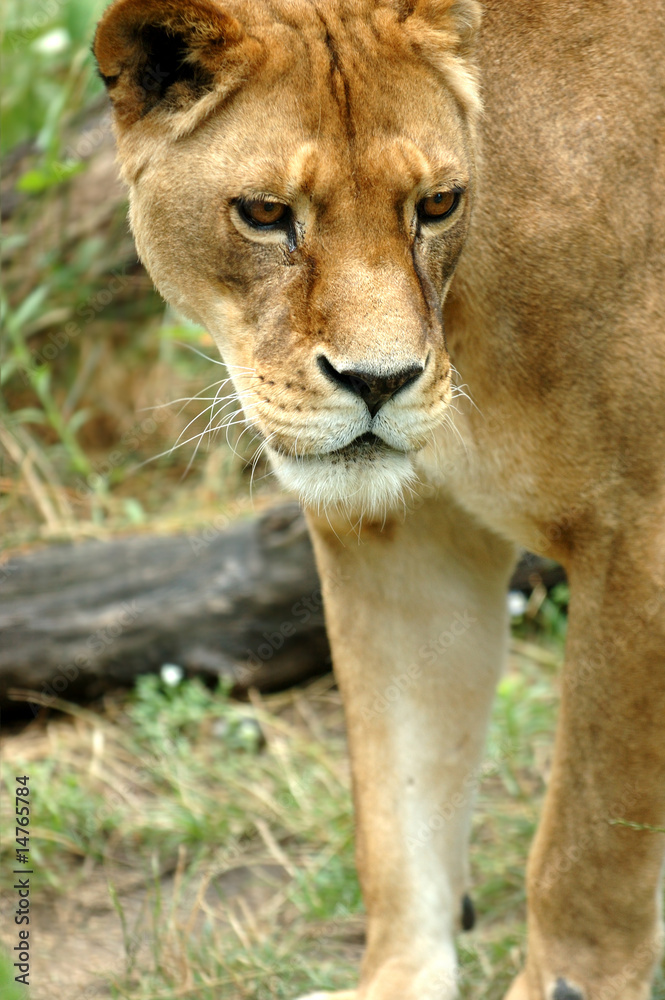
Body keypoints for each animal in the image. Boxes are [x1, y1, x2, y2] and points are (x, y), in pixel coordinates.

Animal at [93, 0, 665, 996]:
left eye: (435, 204)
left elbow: (592, 840)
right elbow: (401, 811)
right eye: (265, 214)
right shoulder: (404, 541)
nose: (379, 381)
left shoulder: (641, 536)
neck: (469, 304)